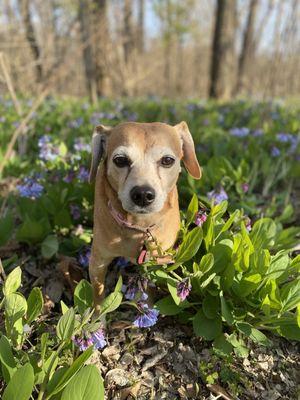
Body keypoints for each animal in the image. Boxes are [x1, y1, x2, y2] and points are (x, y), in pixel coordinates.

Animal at [89, 120, 202, 310]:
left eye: (167, 160)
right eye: (120, 160)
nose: (142, 194)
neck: (139, 227)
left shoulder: (157, 260)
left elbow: (149, 285)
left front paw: (146, 306)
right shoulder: (98, 261)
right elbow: (98, 295)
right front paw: (97, 316)